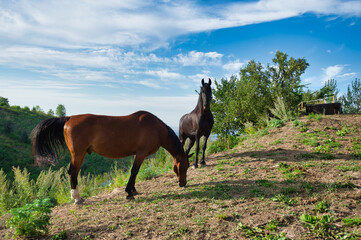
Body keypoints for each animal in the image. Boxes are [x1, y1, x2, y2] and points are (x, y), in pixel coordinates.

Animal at [31, 110, 191, 202]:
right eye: (183, 166)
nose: (183, 183)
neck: (156, 129)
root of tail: (69, 118)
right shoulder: (141, 153)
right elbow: (134, 171)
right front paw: (129, 192)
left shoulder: (138, 154)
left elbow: (135, 172)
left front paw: (133, 190)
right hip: (78, 154)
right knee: (73, 172)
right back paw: (77, 198)